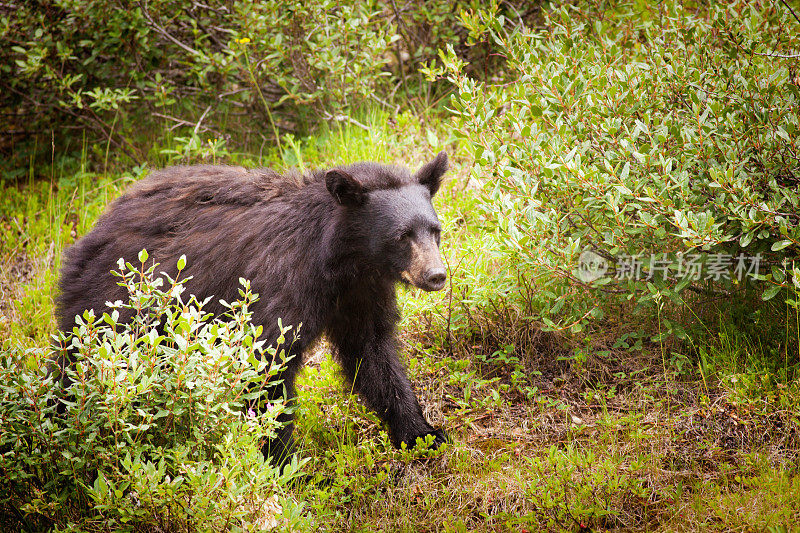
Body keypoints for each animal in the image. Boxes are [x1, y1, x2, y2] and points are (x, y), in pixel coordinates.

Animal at [57, 151, 450, 462]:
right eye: (402, 236)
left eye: (434, 229)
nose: (436, 275)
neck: (341, 260)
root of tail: (96, 226)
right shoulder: (281, 285)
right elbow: (267, 367)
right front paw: (281, 463)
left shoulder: (361, 293)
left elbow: (373, 353)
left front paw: (422, 433)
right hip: (118, 303)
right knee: (82, 361)